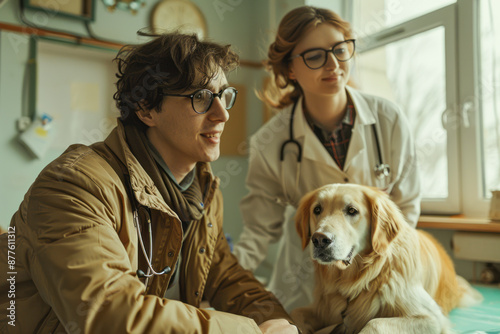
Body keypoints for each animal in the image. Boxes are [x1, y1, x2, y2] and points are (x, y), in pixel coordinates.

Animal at [292, 184, 482, 332]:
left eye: (352, 210)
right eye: (317, 210)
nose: (319, 239)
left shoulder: (431, 317)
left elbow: (374, 323)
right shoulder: (322, 309)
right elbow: (296, 314)